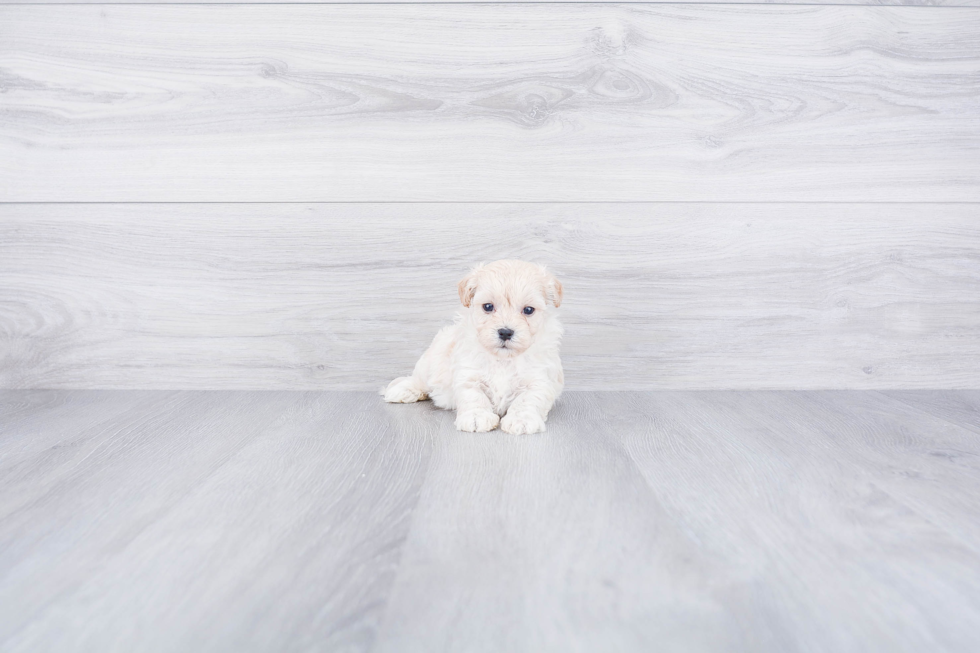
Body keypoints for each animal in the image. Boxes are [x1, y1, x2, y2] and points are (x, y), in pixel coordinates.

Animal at [382, 258, 568, 432]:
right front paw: (476, 417)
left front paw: (521, 420)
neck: (503, 359)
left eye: (528, 310)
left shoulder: (539, 380)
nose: (505, 332)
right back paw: (402, 391)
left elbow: (527, 399)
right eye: (488, 306)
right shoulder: (468, 374)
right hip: (430, 362)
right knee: (418, 380)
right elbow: (474, 396)